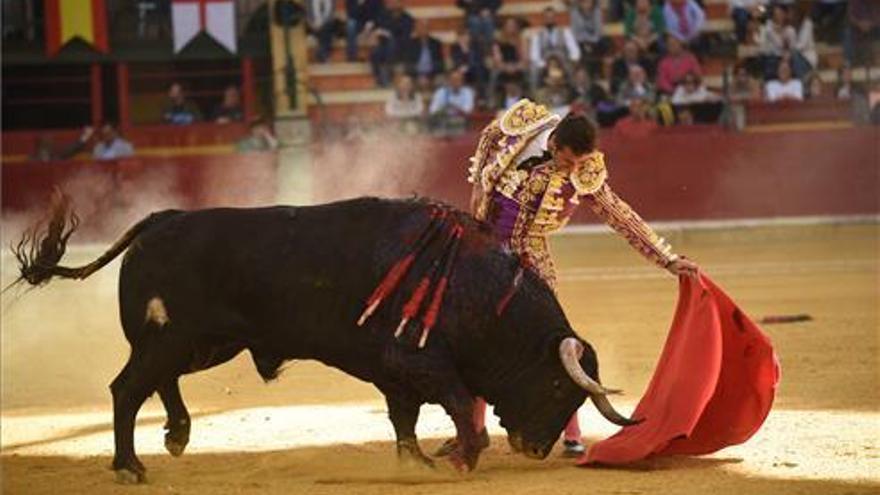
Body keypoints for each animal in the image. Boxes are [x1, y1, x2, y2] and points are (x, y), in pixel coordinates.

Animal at [12, 194, 632, 484]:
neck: (476, 289)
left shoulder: (397, 372)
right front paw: (460, 457)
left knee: (158, 383)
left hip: (203, 343)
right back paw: (130, 465)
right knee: (125, 390)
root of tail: (162, 219)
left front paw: (416, 461)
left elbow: (404, 418)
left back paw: (178, 435)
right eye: (561, 389)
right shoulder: (418, 360)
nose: (537, 447)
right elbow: (458, 405)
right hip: (170, 339)